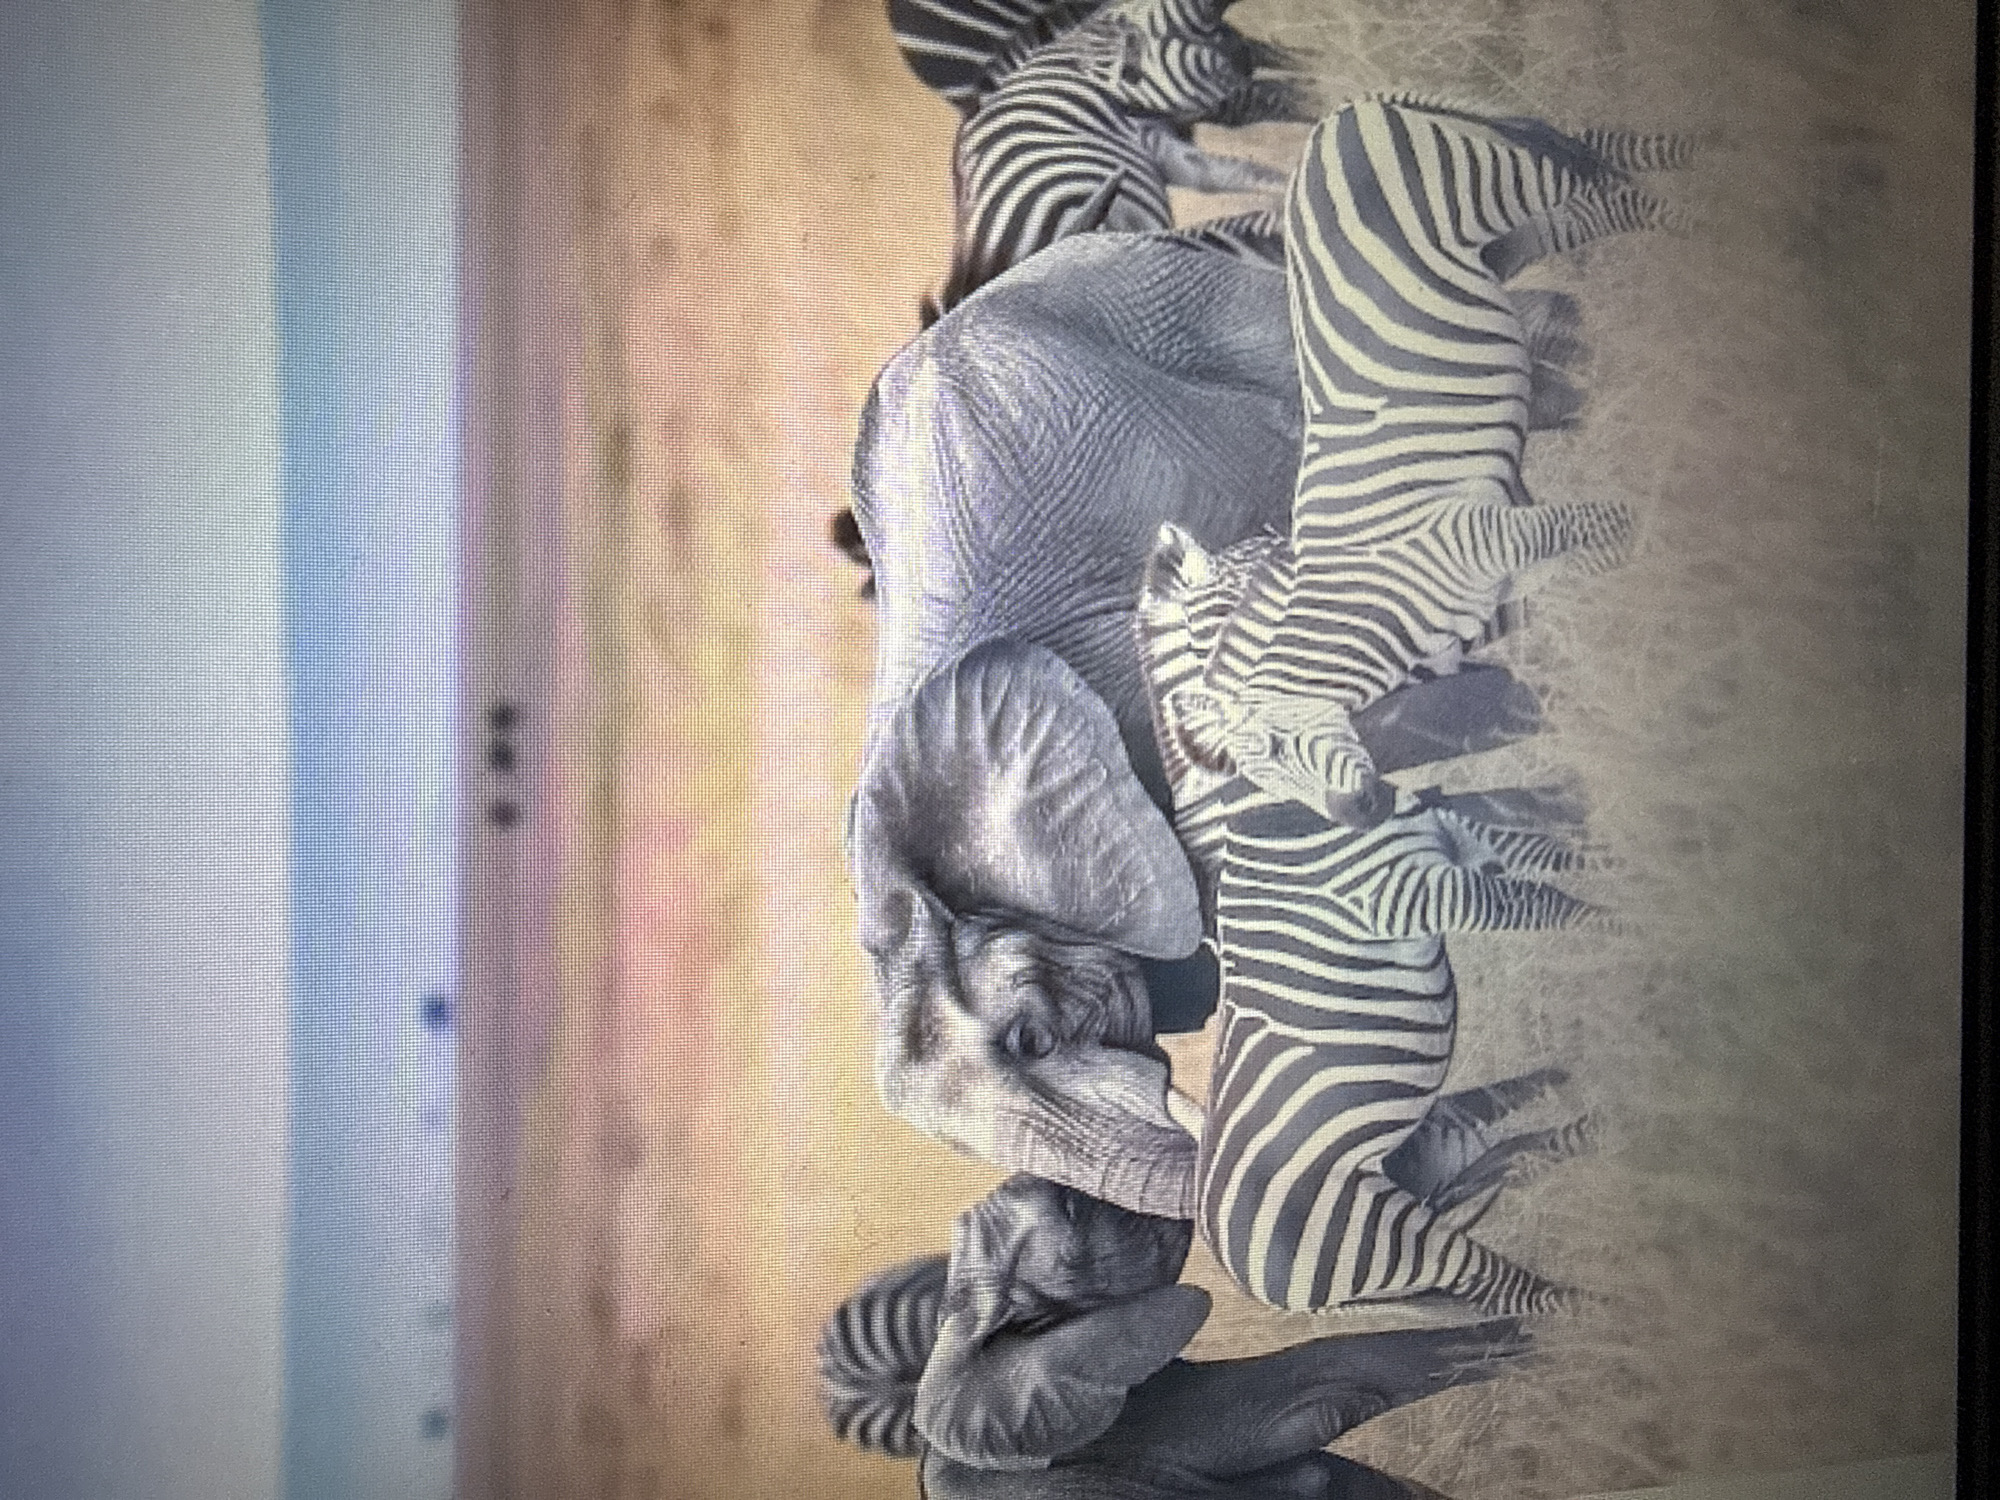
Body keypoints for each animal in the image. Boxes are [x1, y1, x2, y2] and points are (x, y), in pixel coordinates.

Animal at [1134, 527, 1604, 1316]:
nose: (1363, 805)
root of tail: (1232, 1263)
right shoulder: (1422, 893)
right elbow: (1544, 905)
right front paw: (1633, 928)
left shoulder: (1458, 837)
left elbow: (1552, 861)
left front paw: (1631, 870)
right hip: (1383, 1239)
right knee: (1503, 1288)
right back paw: (1588, 1307)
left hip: (1431, 1148)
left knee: (1511, 1152)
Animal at [1166, 97, 1692, 824]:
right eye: (1266, 782)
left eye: (1273, 748)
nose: (1360, 814)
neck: (1365, 607)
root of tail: (1339, 118)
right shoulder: (1500, 582)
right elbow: (1584, 568)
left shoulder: (1485, 533)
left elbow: (1611, 524)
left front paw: (1668, 550)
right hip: (1495, 211)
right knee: (1584, 167)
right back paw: (1700, 167)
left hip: (1488, 185)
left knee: (1566, 164)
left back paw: (1697, 212)